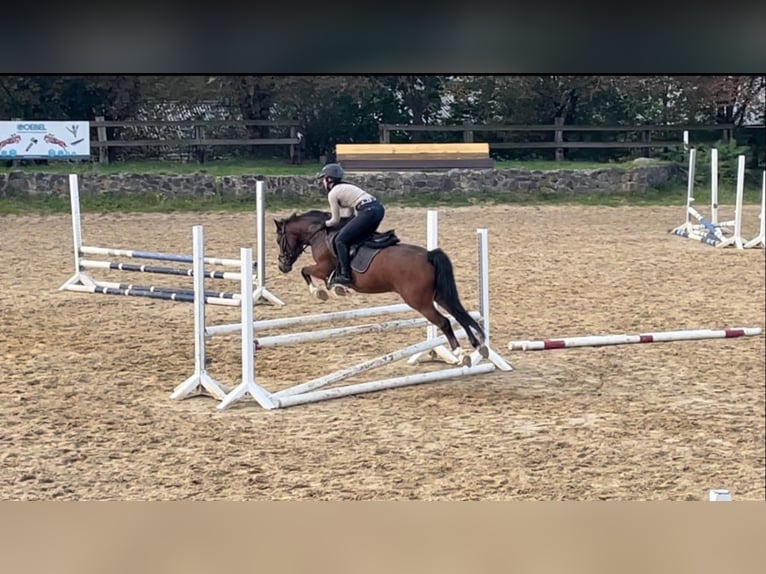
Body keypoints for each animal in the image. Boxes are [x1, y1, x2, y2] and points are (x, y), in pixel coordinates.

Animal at [278, 210, 492, 364]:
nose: (282, 266)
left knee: (444, 322)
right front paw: (337, 288)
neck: (319, 233)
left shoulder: (322, 267)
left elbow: (305, 271)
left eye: (280, 240)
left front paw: (319, 292)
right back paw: (477, 346)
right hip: (439, 296)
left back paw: (460, 353)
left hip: (419, 302)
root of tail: (428, 255)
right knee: (459, 314)